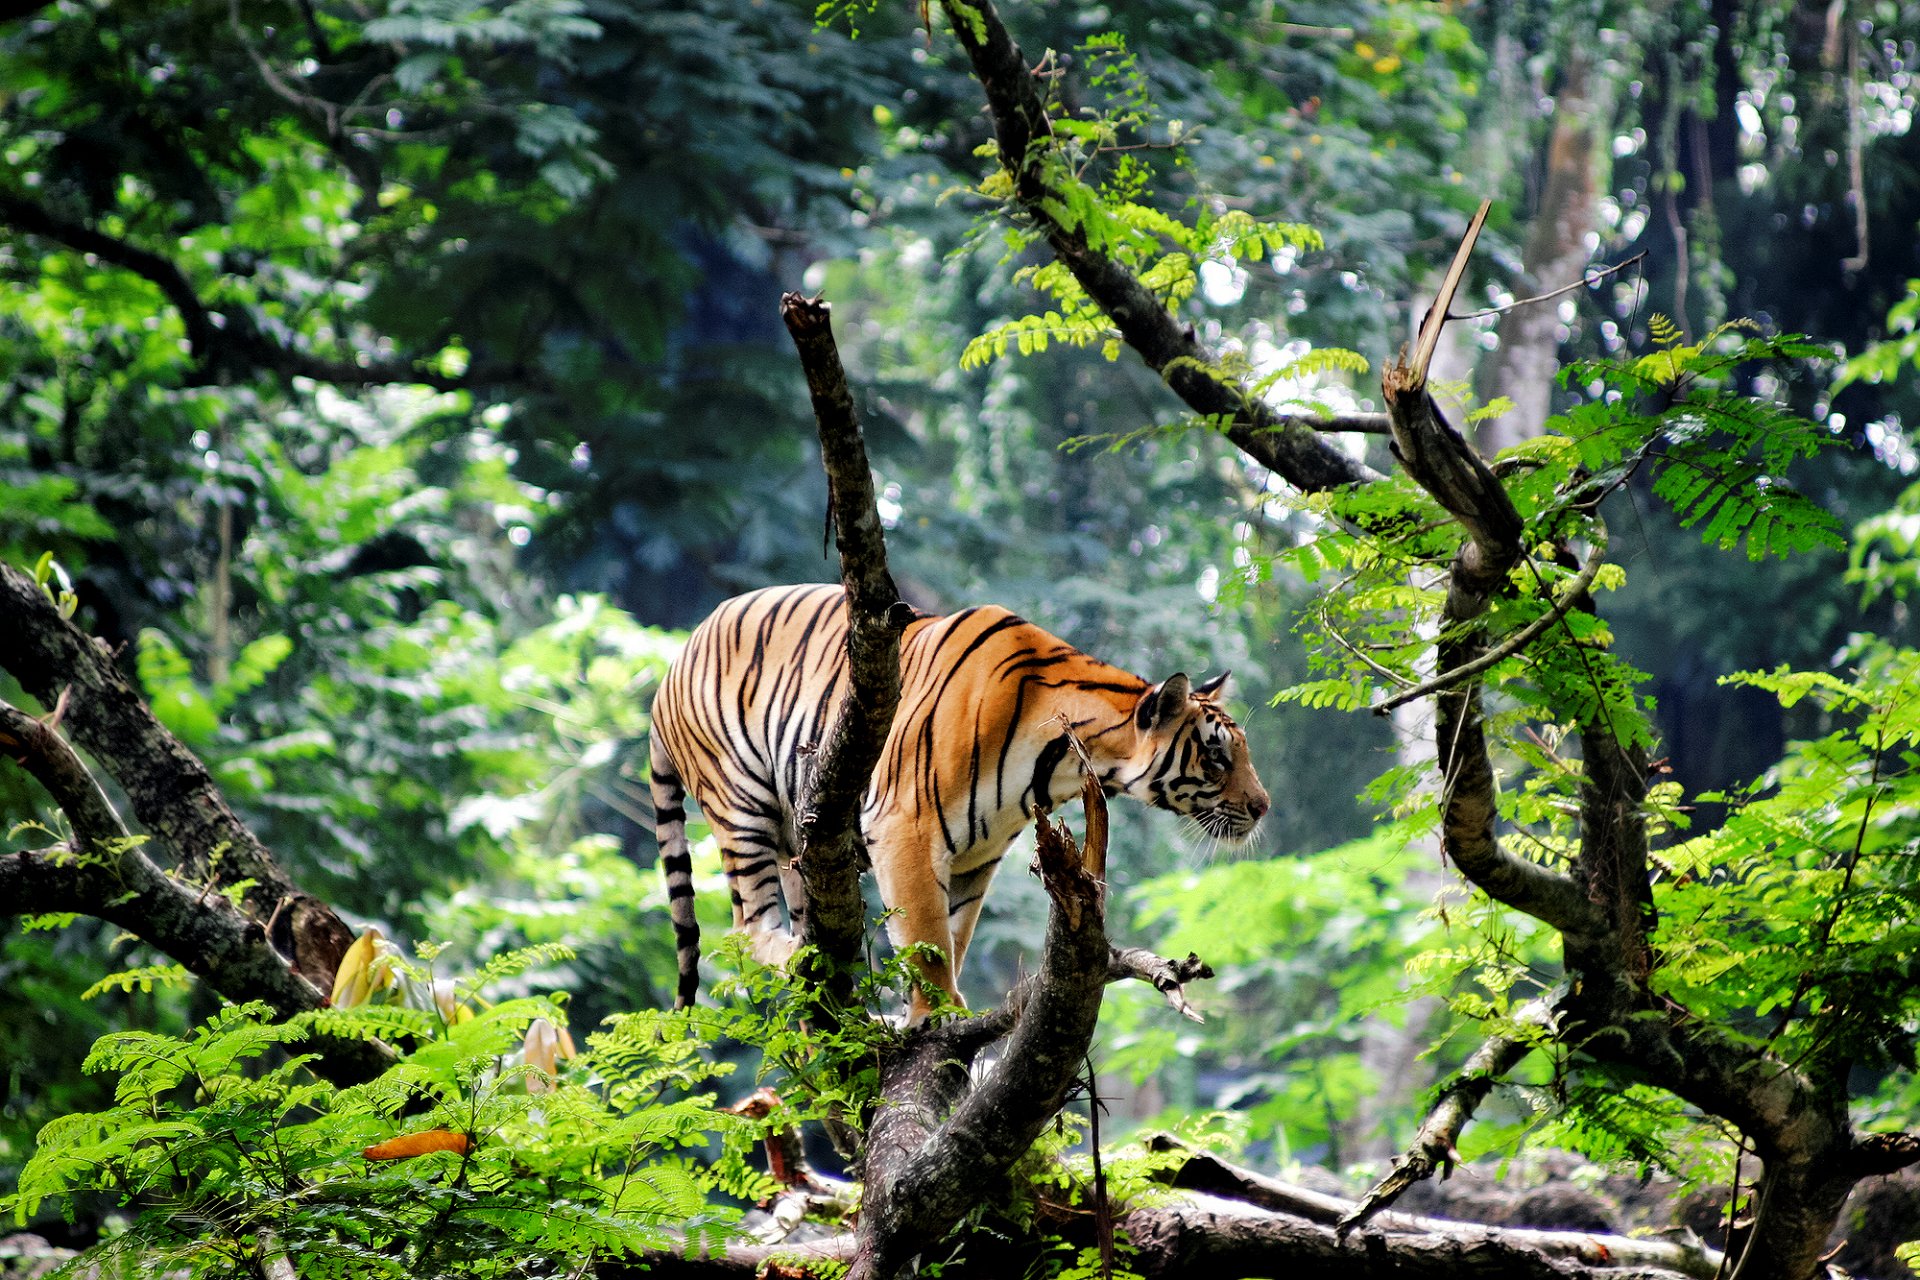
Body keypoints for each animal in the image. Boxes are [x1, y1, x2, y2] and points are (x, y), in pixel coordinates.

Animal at [647, 582, 1270, 1015]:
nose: (1263, 807)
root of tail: (671, 664)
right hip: (740, 805)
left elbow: (954, 934)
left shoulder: (978, 854)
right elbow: (926, 936)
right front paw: (936, 1015)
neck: (1064, 763)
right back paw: (801, 959)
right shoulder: (906, 825)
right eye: (1218, 757)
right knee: (745, 929)